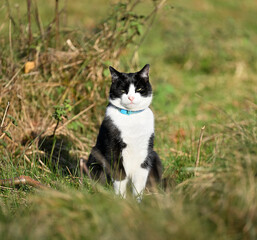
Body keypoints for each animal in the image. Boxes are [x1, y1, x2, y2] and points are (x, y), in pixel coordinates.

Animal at [87, 63, 161, 201]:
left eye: (139, 89)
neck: (131, 117)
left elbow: (139, 182)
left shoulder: (145, 152)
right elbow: (120, 176)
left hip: (155, 157)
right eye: (122, 90)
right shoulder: (113, 148)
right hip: (95, 156)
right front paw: (121, 200)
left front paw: (138, 202)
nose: (131, 97)